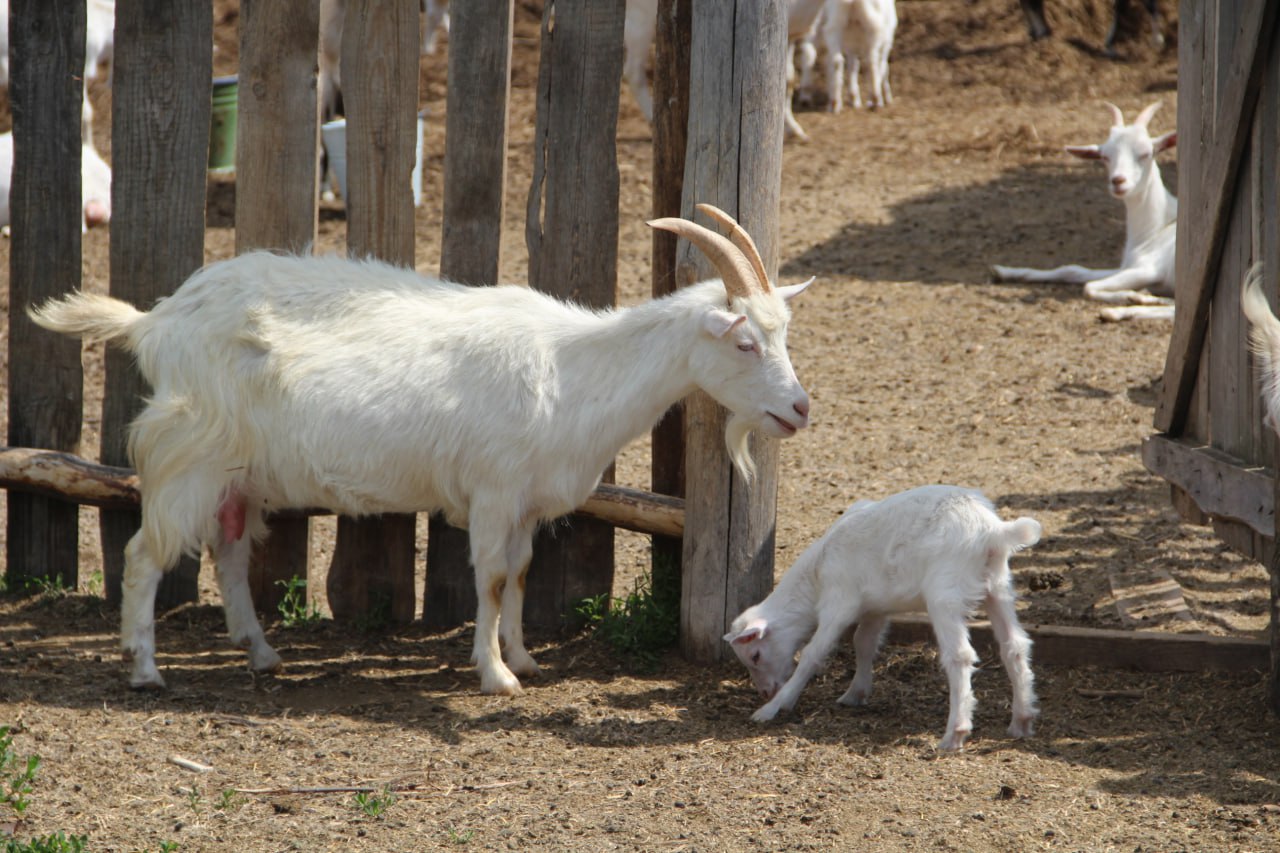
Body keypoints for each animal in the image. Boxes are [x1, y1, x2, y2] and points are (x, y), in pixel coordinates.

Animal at [30, 207, 814, 696]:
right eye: (746, 342)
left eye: (783, 333)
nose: (801, 408)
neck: (571, 369)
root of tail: (156, 320)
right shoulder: (494, 492)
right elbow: (491, 581)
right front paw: (496, 676)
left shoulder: (523, 501)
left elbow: (521, 576)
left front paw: (525, 656)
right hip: (191, 453)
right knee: (143, 556)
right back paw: (144, 669)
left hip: (237, 472)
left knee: (227, 552)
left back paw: (260, 652)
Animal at [727, 481, 1034, 747]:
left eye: (755, 655)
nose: (765, 692)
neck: (816, 574)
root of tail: (993, 531)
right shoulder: (875, 608)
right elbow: (863, 643)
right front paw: (855, 693)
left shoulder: (839, 602)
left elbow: (813, 653)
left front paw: (774, 707)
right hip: (999, 587)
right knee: (1015, 646)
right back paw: (1021, 720)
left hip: (946, 593)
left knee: (960, 656)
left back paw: (955, 734)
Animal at [988, 103, 1177, 320]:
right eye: (1105, 156)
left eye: (1146, 153)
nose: (1118, 181)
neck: (1156, 230)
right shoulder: (1128, 268)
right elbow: (1072, 270)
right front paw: (1002, 271)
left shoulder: (1148, 269)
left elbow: (1088, 287)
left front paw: (1134, 296)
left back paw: (1120, 310)